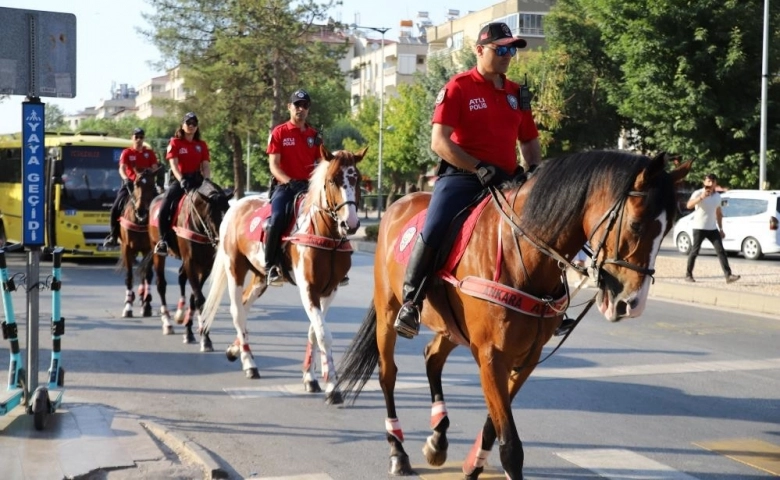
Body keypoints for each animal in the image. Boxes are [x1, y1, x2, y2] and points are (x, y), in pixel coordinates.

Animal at [144, 180, 232, 348]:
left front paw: (192, 332)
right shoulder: (190, 262)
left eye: (228, 213)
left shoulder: (205, 266)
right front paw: (205, 338)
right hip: (157, 252)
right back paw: (167, 323)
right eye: (211, 216)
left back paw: (180, 313)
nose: (221, 243)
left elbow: (194, 298)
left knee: (181, 277)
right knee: (161, 284)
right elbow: (199, 299)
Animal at [203, 145, 368, 402]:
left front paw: (310, 377)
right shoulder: (308, 289)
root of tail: (236, 205)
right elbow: (323, 334)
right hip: (235, 269)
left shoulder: (329, 290)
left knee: (245, 305)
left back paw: (235, 349)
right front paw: (332, 386)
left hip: (260, 277)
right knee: (237, 312)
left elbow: (313, 331)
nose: (349, 223)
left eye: (357, 178)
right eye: (332, 180)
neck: (325, 235)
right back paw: (249, 363)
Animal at [336, 150, 688, 476]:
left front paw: (473, 464)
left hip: (452, 327)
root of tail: (399, 203)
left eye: (668, 227)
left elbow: (494, 429)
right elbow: (511, 447)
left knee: (432, 357)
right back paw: (398, 451)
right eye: (636, 225)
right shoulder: (492, 356)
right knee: (388, 374)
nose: (632, 303)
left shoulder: (527, 356)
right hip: (388, 312)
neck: (525, 255)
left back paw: (438, 437)